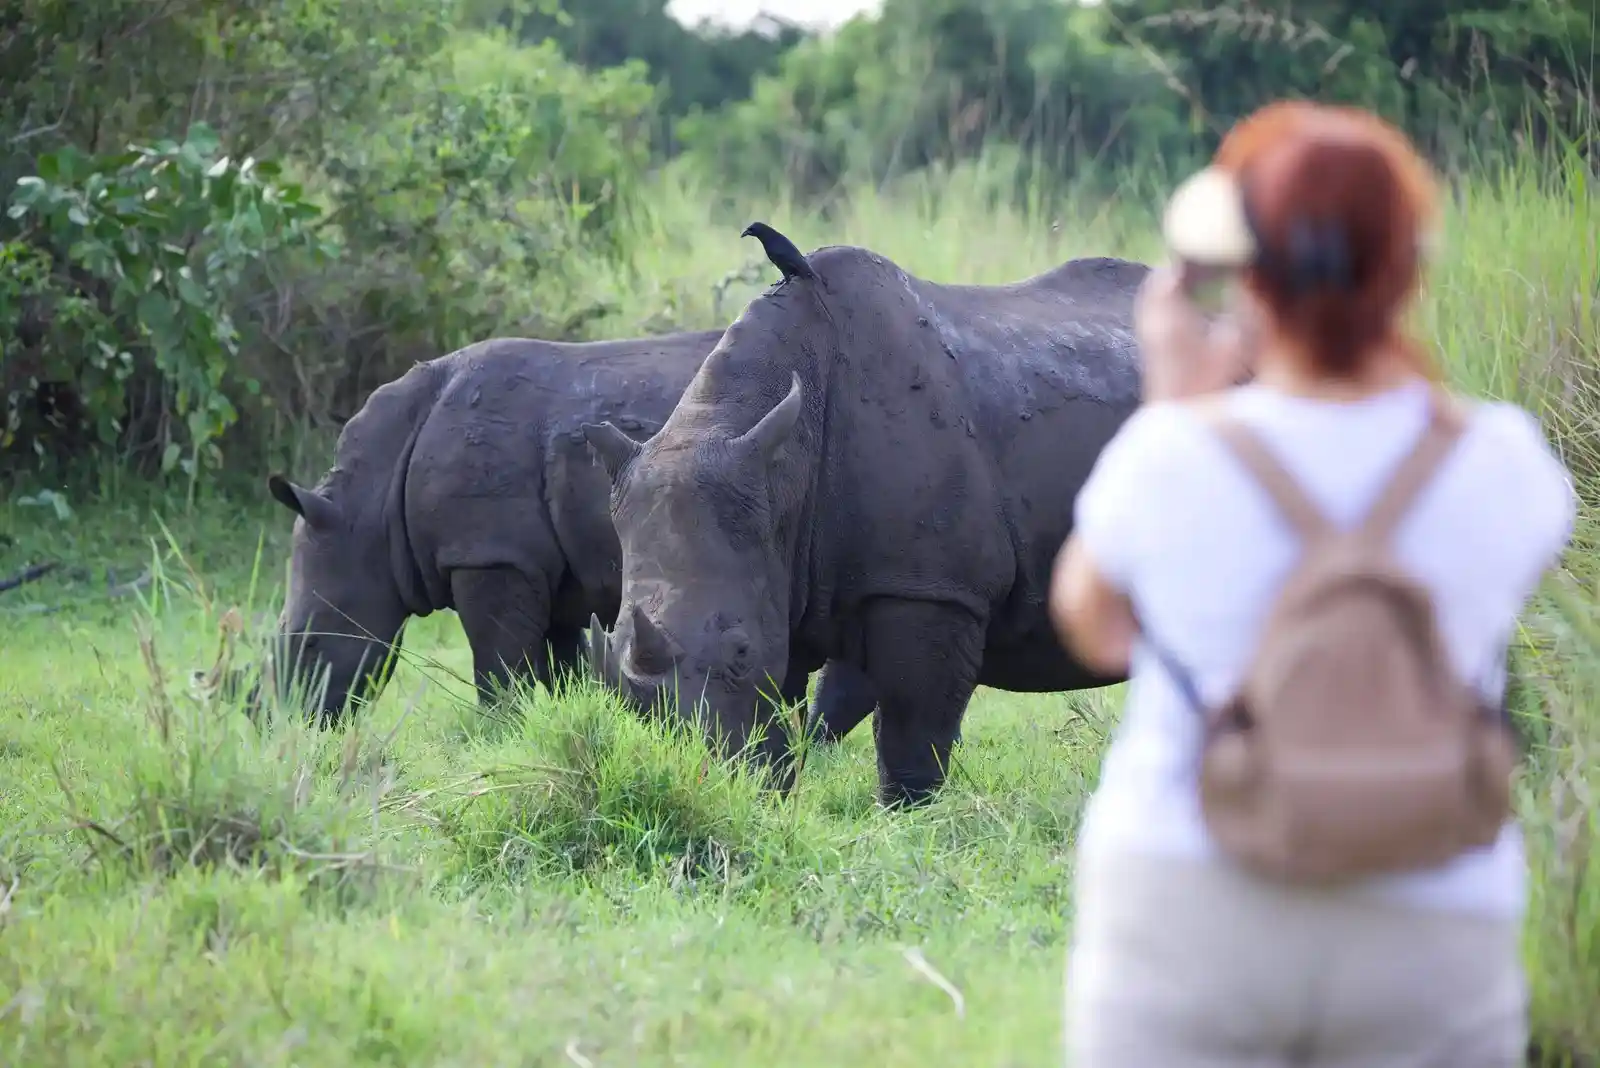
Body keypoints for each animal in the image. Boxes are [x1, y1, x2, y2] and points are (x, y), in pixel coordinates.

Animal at [261, 330, 878, 731]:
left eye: (310, 643)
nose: (294, 729)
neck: (369, 510)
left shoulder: (490, 556)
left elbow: (499, 670)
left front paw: (497, 737)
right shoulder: (545, 570)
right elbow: (563, 669)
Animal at [582, 246, 1148, 804]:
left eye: (740, 652)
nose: (698, 780)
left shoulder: (929, 588)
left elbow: (909, 726)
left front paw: (906, 813)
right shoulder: (798, 570)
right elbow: (802, 712)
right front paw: (769, 791)